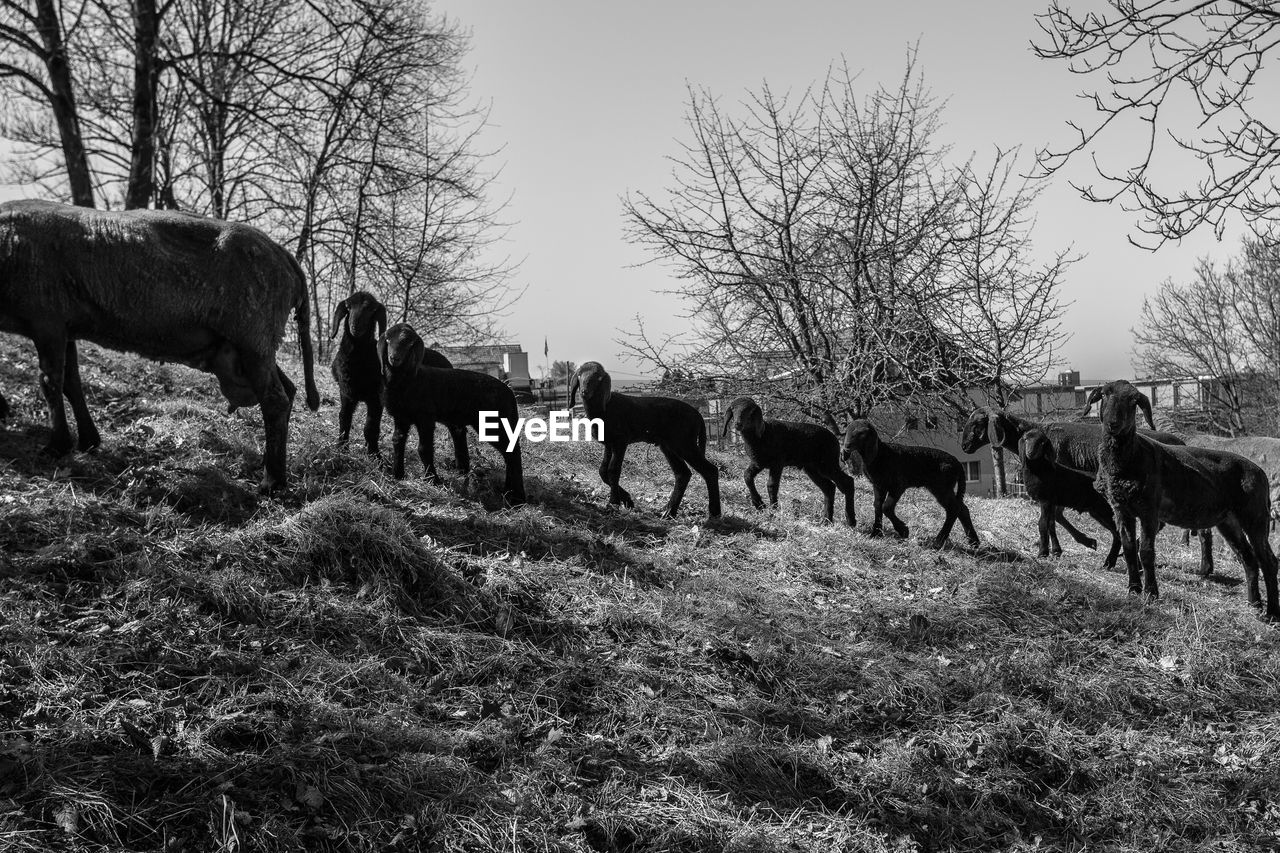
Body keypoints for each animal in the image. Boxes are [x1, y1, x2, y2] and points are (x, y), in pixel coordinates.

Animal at [376, 322, 522, 502]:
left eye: (409, 343)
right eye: (388, 340)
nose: (394, 358)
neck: (407, 381)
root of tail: (509, 393)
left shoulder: (425, 417)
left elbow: (424, 448)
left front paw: (433, 480)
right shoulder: (401, 417)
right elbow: (397, 441)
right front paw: (397, 475)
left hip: (495, 422)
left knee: (512, 452)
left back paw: (517, 497)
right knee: (509, 453)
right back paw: (508, 492)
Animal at [568, 361, 721, 517]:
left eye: (598, 378)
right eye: (579, 376)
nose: (584, 392)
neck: (604, 408)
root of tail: (699, 416)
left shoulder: (620, 441)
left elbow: (613, 470)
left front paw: (613, 503)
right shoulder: (609, 443)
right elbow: (603, 471)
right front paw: (627, 500)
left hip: (685, 442)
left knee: (710, 470)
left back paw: (714, 513)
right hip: (669, 445)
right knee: (682, 473)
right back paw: (668, 512)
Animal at [727, 394, 855, 522]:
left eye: (751, 411)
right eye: (733, 409)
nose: (738, 424)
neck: (762, 435)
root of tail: (835, 439)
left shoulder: (777, 463)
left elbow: (771, 485)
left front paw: (774, 509)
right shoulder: (758, 463)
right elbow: (747, 476)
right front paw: (759, 504)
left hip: (827, 463)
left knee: (847, 482)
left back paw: (850, 520)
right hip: (812, 468)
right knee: (829, 487)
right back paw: (826, 520)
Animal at [839, 417, 977, 548]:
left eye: (862, 433)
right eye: (847, 431)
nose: (846, 446)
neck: (880, 455)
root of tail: (958, 464)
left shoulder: (898, 485)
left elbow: (886, 507)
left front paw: (903, 530)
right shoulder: (878, 485)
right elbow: (877, 505)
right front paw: (876, 533)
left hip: (942, 487)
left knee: (954, 509)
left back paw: (939, 541)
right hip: (942, 488)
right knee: (962, 509)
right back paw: (974, 542)